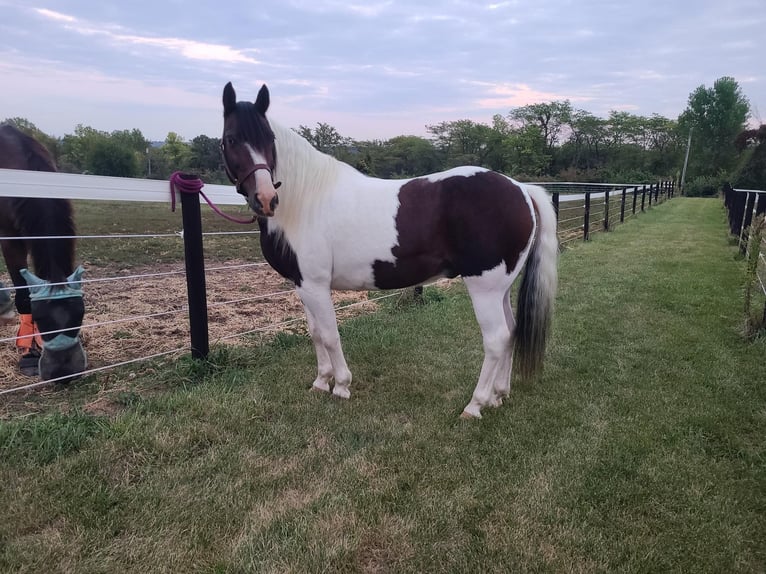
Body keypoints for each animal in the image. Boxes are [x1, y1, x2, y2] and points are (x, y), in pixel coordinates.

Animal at [0, 126, 87, 388]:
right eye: (40, 318)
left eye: (80, 312)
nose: (63, 372)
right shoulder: (9, 237)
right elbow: (23, 297)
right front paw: (29, 354)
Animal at [222, 83, 560, 420]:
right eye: (231, 139)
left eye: (269, 139)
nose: (266, 198)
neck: (306, 201)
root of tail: (521, 189)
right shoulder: (301, 284)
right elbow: (315, 332)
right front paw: (320, 383)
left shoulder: (316, 285)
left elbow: (330, 335)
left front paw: (341, 386)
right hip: (501, 287)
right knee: (512, 331)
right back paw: (498, 395)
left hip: (484, 287)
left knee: (496, 338)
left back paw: (474, 405)